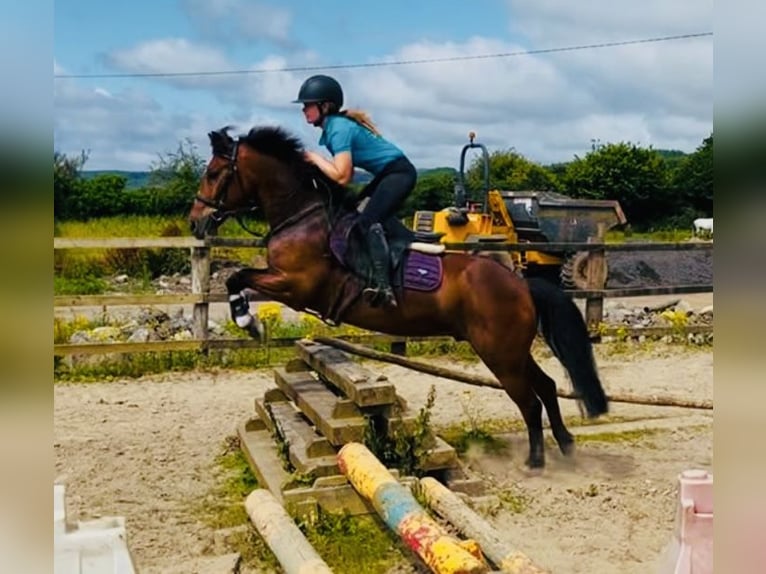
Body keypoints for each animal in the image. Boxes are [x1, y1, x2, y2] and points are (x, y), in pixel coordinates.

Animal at [188, 125, 609, 469]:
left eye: (213, 174)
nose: (196, 222)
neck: (302, 215)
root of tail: (521, 283)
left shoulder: (296, 284)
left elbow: (238, 278)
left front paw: (249, 322)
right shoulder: (285, 283)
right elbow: (238, 280)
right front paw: (250, 322)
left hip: (500, 354)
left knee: (530, 400)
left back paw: (536, 461)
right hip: (510, 351)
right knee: (547, 387)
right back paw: (566, 446)